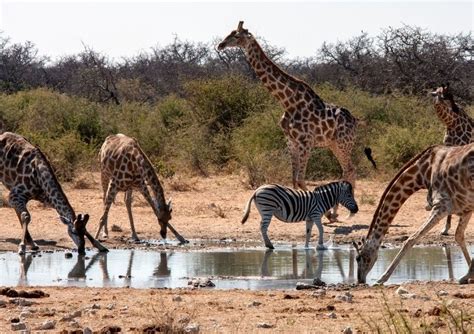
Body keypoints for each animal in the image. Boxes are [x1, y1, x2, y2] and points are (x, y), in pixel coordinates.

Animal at [217, 20, 376, 193]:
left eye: (237, 36)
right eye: (230, 33)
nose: (220, 45)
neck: (288, 102)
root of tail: (355, 120)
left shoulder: (306, 142)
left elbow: (300, 179)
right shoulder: (291, 141)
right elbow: (293, 179)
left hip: (343, 143)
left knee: (349, 170)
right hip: (334, 144)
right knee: (349, 170)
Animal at [354, 143, 474, 284]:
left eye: (358, 258)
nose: (360, 280)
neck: (423, 173)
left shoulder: (441, 206)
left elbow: (411, 239)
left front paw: (382, 278)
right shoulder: (465, 208)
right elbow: (459, 236)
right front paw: (469, 275)